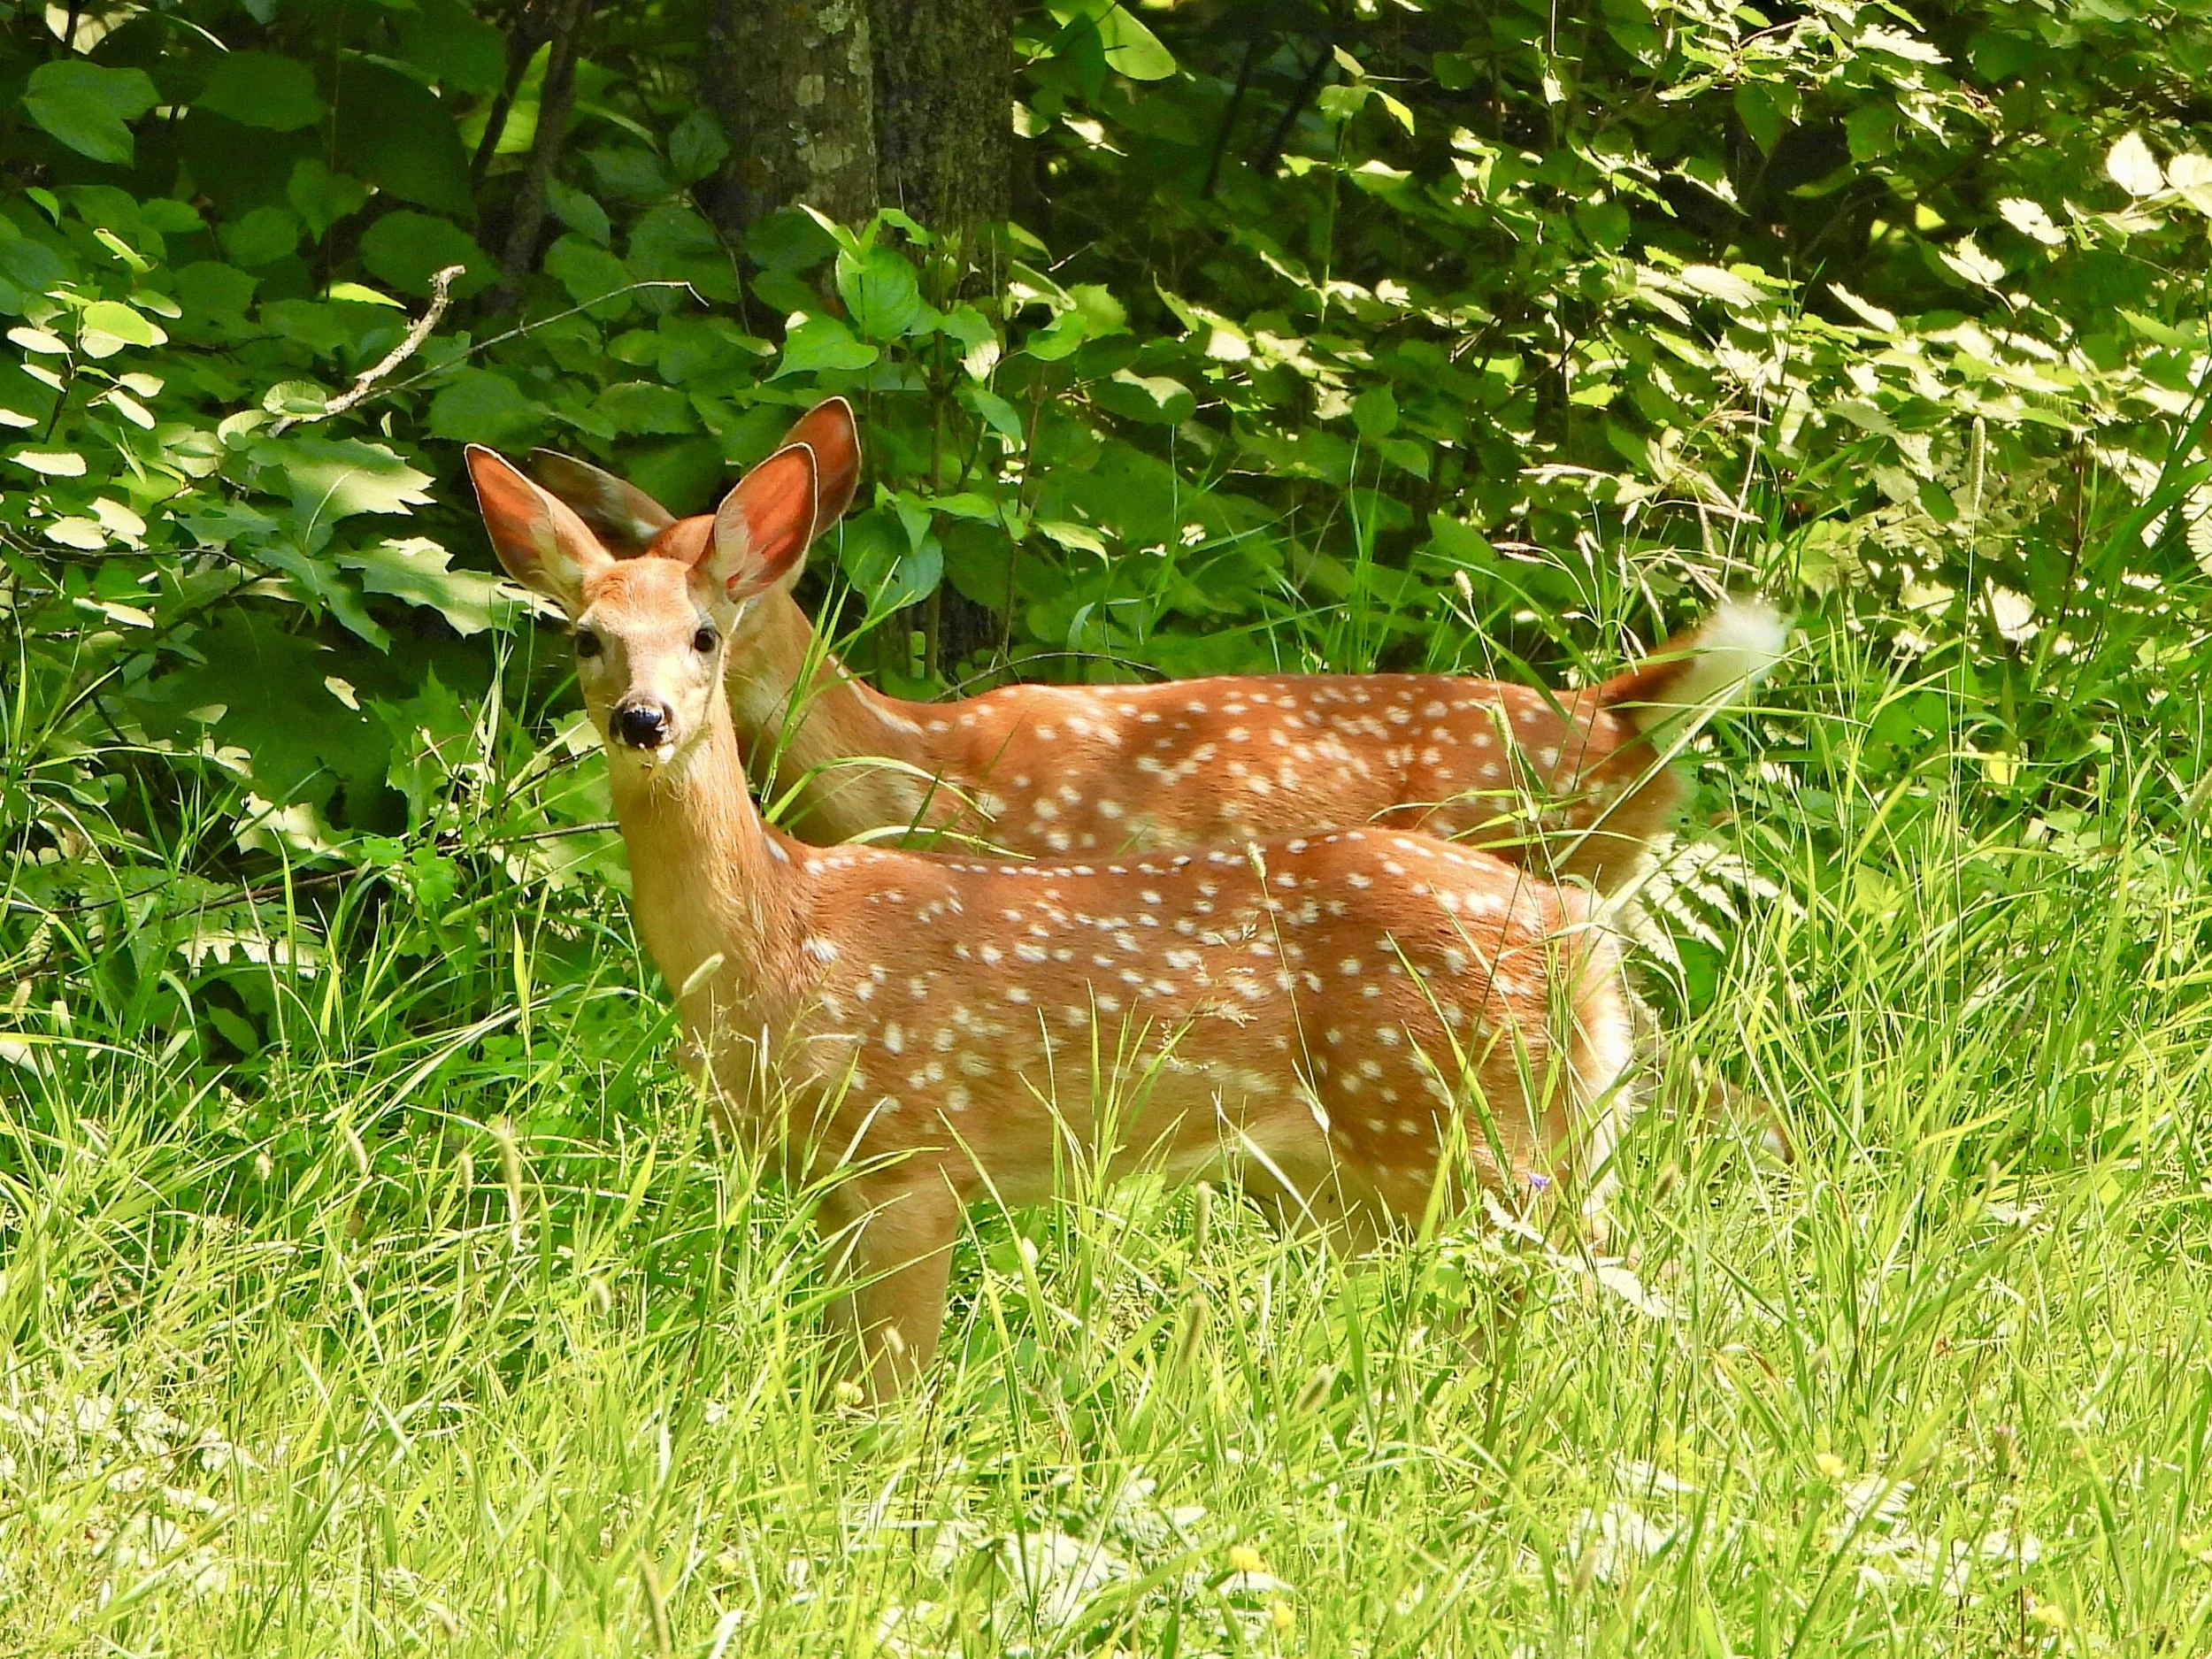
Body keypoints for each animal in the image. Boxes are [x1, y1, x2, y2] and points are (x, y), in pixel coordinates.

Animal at [468, 434, 1643, 1400]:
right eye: (586, 638)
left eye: (706, 634)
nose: (644, 719)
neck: (780, 940)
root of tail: (1579, 934)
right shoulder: (826, 1187)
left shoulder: (911, 1155)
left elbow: (889, 1400)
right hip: (1381, 1173)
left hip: (1481, 1136)